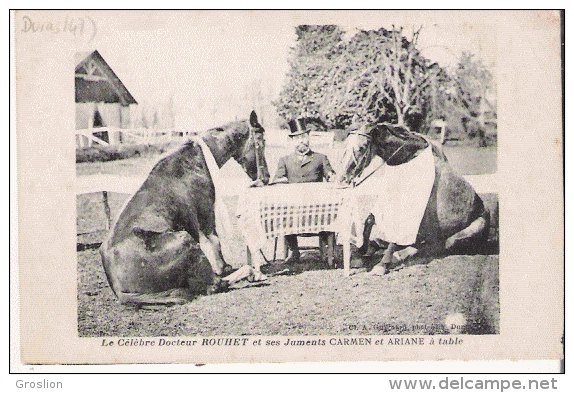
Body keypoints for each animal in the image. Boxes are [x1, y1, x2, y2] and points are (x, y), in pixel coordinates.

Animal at [101, 112, 272, 304]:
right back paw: (252, 273)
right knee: (216, 285)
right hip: (185, 237)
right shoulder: (206, 214)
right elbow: (215, 242)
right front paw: (225, 267)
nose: (266, 177)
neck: (195, 160)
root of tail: (119, 290)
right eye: (261, 141)